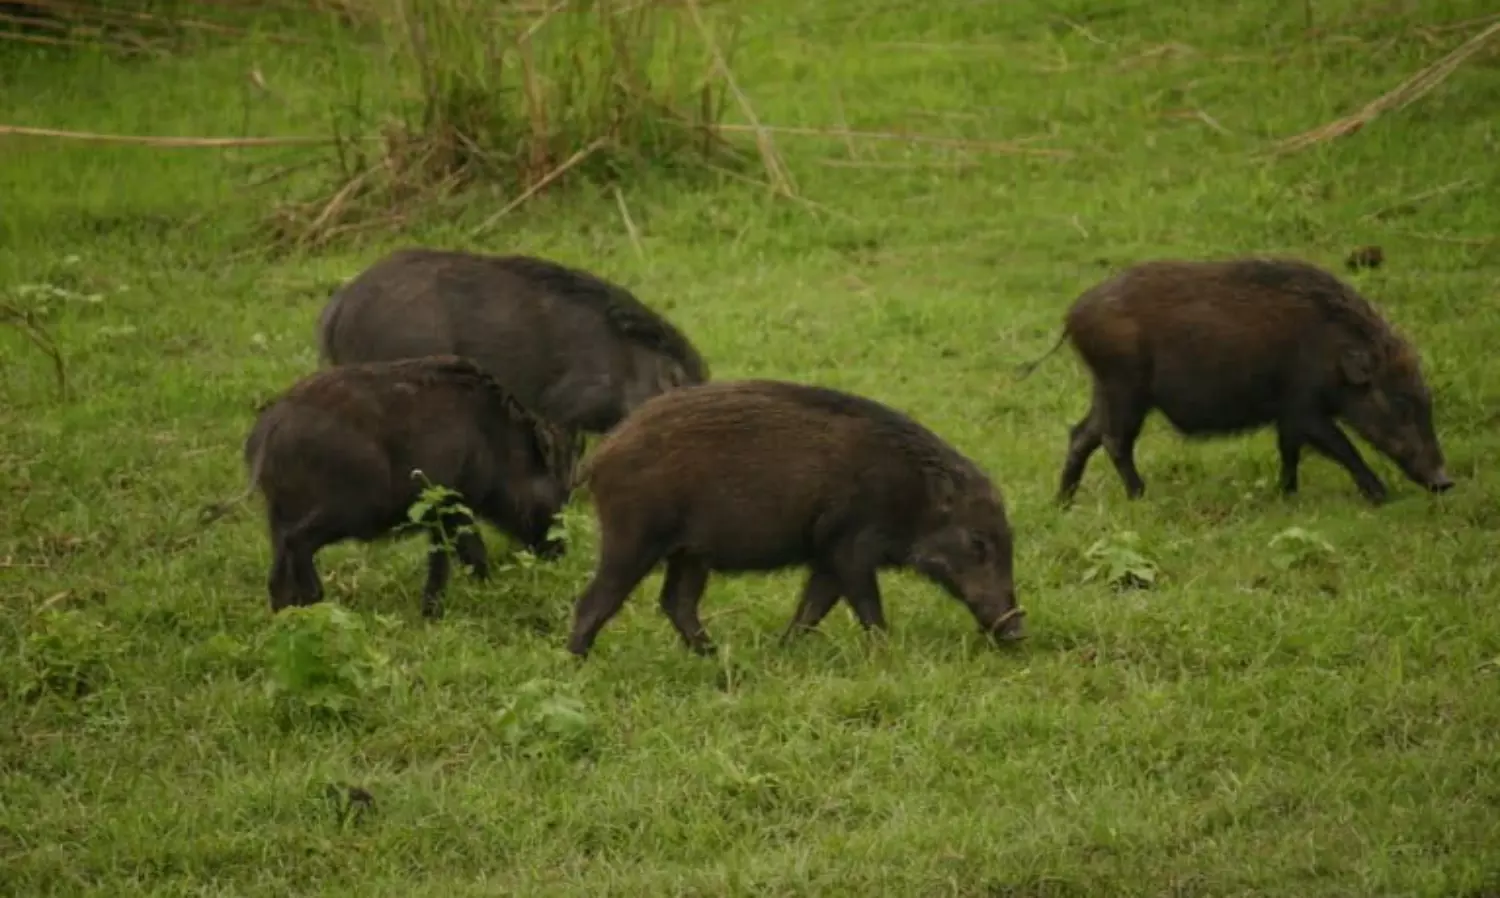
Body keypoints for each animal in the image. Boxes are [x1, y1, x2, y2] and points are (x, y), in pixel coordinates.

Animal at [242, 355, 582, 619]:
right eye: (556, 493)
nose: (560, 552)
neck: (498, 445)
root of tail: (267, 433)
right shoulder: (451, 503)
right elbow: (470, 553)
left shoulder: (438, 512)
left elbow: (445, 559)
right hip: (351, 508)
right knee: (297, 543)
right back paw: (316, 599)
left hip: (280, 514)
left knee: (277, 573)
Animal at [563, 379, 1025, 659]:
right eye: (979, 543)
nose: (1017, 629)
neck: (910, 495)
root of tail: (598, 458)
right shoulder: (849, 545)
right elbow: (865, 606)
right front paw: (886, 655)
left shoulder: (827, 555)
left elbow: (812, 607)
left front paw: (783, 652)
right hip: (633, 537)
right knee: (595, 600)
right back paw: (579, 663)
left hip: (691, 553)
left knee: (677, 602)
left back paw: (716, 656)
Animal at [1016, 257, 1452, 505]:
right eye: (1399, 403)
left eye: (1426, 399)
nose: (1444, 481)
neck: (1332, 350)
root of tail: (1073, 315)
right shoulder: (1304, 407)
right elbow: (1343, 447)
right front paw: (1382, 497)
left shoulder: (1288, 416)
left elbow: (1289, 451)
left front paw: (1287, 495)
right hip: (1125, 387)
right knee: (1113, 441)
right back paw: (1140, 498)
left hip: (1107, 389)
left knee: (1081, 434)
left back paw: (1063, 502)